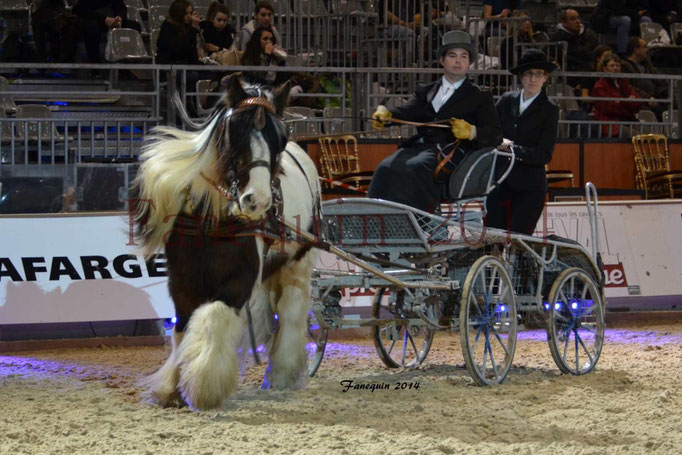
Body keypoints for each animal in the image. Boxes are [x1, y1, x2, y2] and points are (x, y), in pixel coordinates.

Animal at [135, 76, 322, 412]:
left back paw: (281, 375)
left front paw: (203, 385)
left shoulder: (239, 282)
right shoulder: (182, 281)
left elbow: (214, 317)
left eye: (280, 138)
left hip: (298, 262)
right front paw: (171, 387)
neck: (214, 222)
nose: (257, 201)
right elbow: (182, 328)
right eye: (235, 132)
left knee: (291, 310)